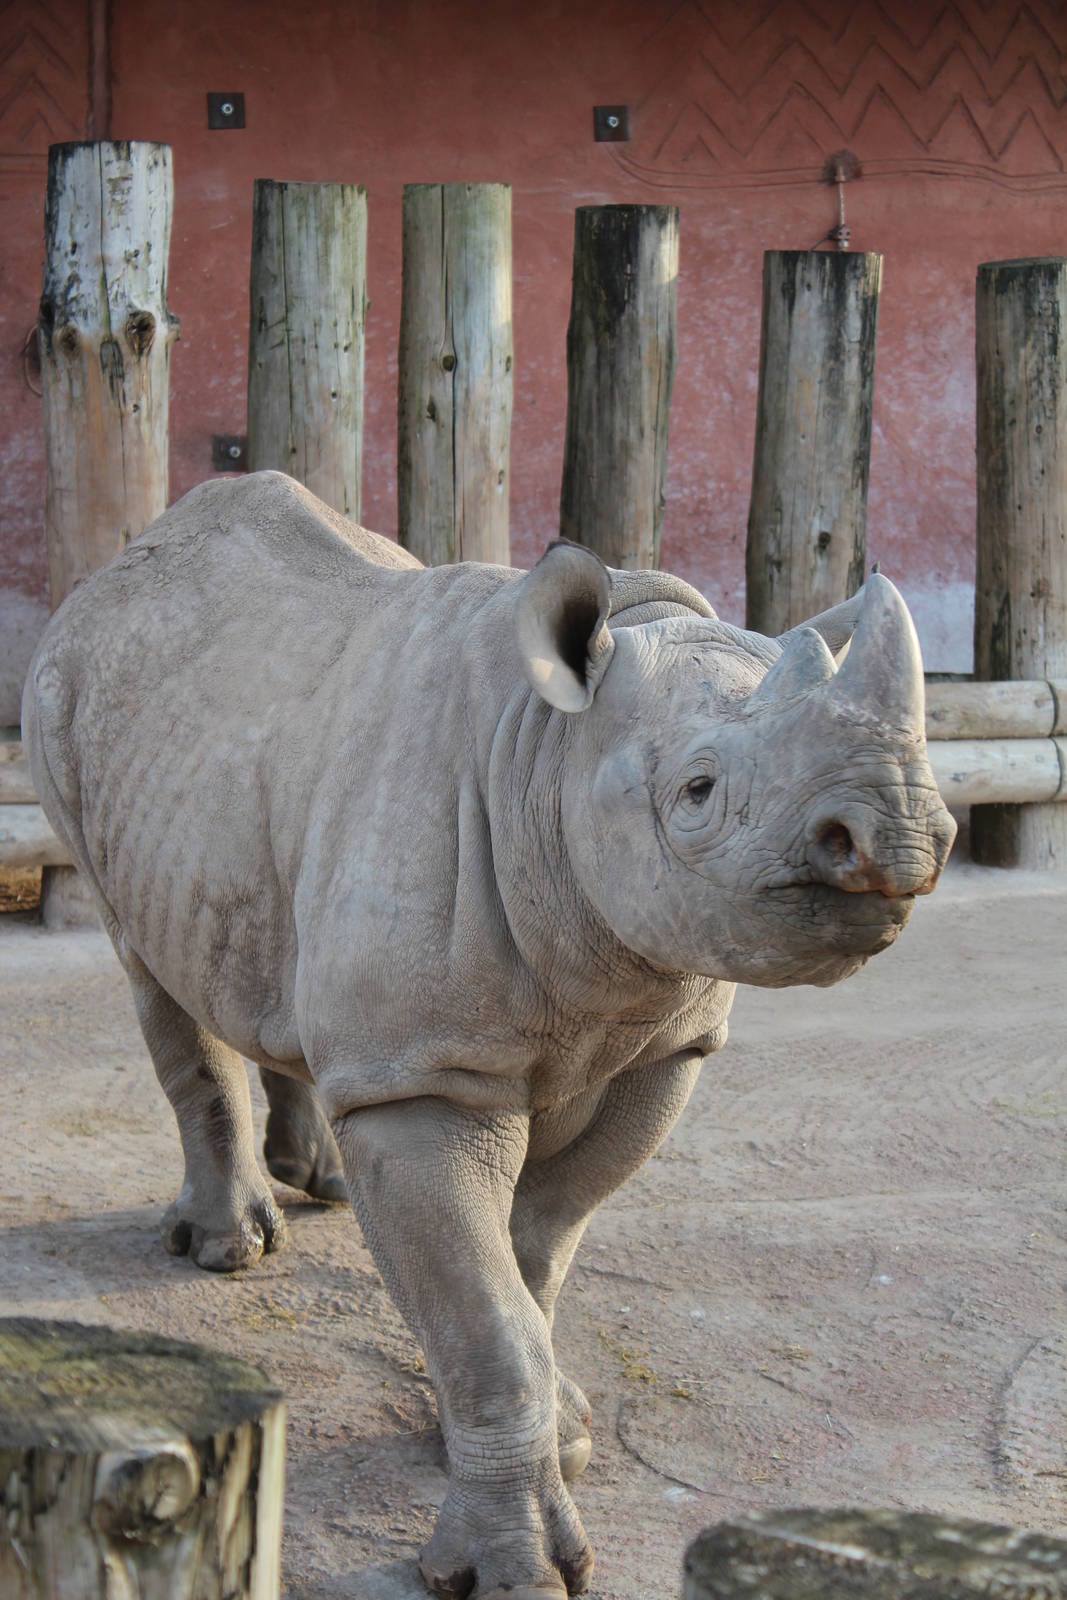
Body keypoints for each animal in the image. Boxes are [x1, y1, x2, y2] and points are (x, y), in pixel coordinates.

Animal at [23, 471, 955, 1600]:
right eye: (695, 791)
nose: (896, 833)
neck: (555, 753)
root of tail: (117, 566)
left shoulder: (658, 1048)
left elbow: (531, 1256)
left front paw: (564, 1434)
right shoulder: (430, 1082)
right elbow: (487, 1311)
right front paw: (515, 1569)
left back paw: (324, 1181)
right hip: (64, 704)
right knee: (148, 965)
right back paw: (228, 1246)